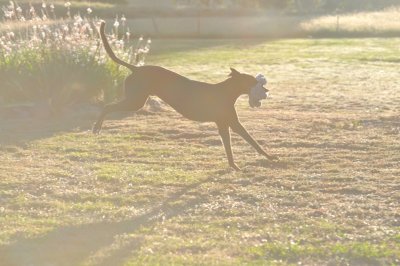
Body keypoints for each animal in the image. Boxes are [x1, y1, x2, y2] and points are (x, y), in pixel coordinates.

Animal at [94, 21, 276, 169]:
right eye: (255, 82)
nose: (267, 91)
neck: (226, 92)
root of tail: (136, 69)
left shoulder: (225, 125)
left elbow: (233, 146)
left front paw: (235, 165)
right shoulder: (232, 123)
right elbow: (251, 141)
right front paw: (268, 157)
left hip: (135, 100)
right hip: (135, 101)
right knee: (107, 106)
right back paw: (97, 127)